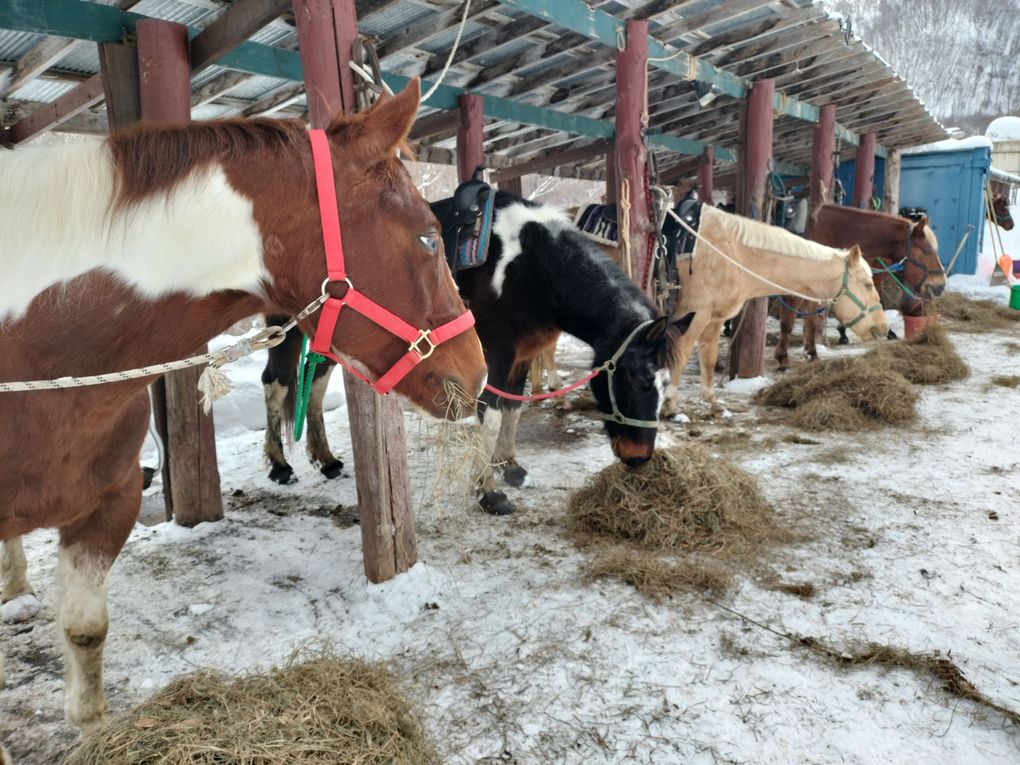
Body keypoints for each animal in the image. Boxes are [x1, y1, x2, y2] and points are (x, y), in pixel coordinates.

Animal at [259, 189, 697, 518]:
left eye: (665, 385)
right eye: (637, 379)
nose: (639, 458)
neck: (532, 269)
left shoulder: (522, 355)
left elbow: (514, 409)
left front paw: (510, 467)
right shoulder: (496, 355)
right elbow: (491, 415)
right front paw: (489, 492)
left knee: (314, 385)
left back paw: (327, 460)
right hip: (285, 330)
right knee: (275, 383)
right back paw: (280, 466)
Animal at [656, 204, 889, 416]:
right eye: (868, 284)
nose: (883, 327)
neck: (731, 253)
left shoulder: (714, 319)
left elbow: (709, 358)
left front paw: (713, 403)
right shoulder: (696, 316)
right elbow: (681, 354)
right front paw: (670, 406)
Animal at [775, 205, 942, 367]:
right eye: (927, 250)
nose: (940, 285)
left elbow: (813, 320)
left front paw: (813, 353)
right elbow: (788, 322)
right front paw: (783, 358)